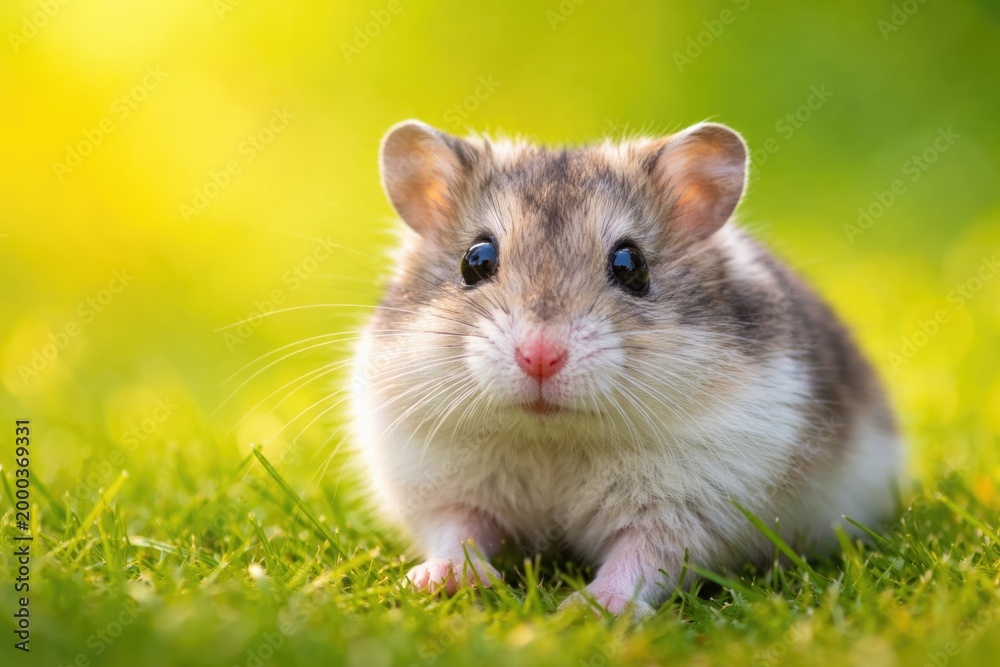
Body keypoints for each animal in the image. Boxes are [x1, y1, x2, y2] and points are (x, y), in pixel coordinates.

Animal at [350, 119, 902, 617]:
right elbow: (457, 531)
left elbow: (642, 558)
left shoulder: (691, 510)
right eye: (476, 259)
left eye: (630, 265)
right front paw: (441, 583)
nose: (540, 356)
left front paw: (588, 609)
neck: (553, 438)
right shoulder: (437, 484)